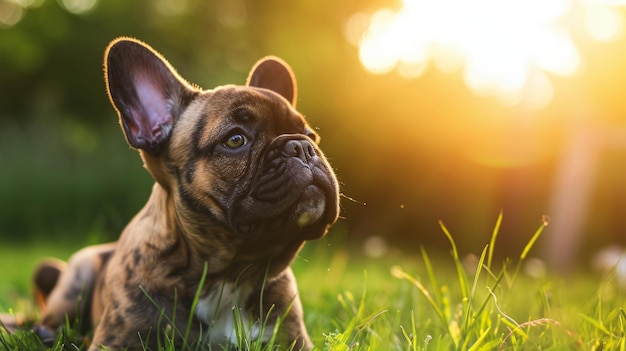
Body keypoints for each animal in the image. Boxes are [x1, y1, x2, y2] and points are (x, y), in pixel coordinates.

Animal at [31, 38, 338, 351]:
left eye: (311, 136)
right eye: (235, 140)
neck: (230, 273)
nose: (302, 147)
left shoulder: (293, 340)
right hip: (76, 280)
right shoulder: (116, 343)